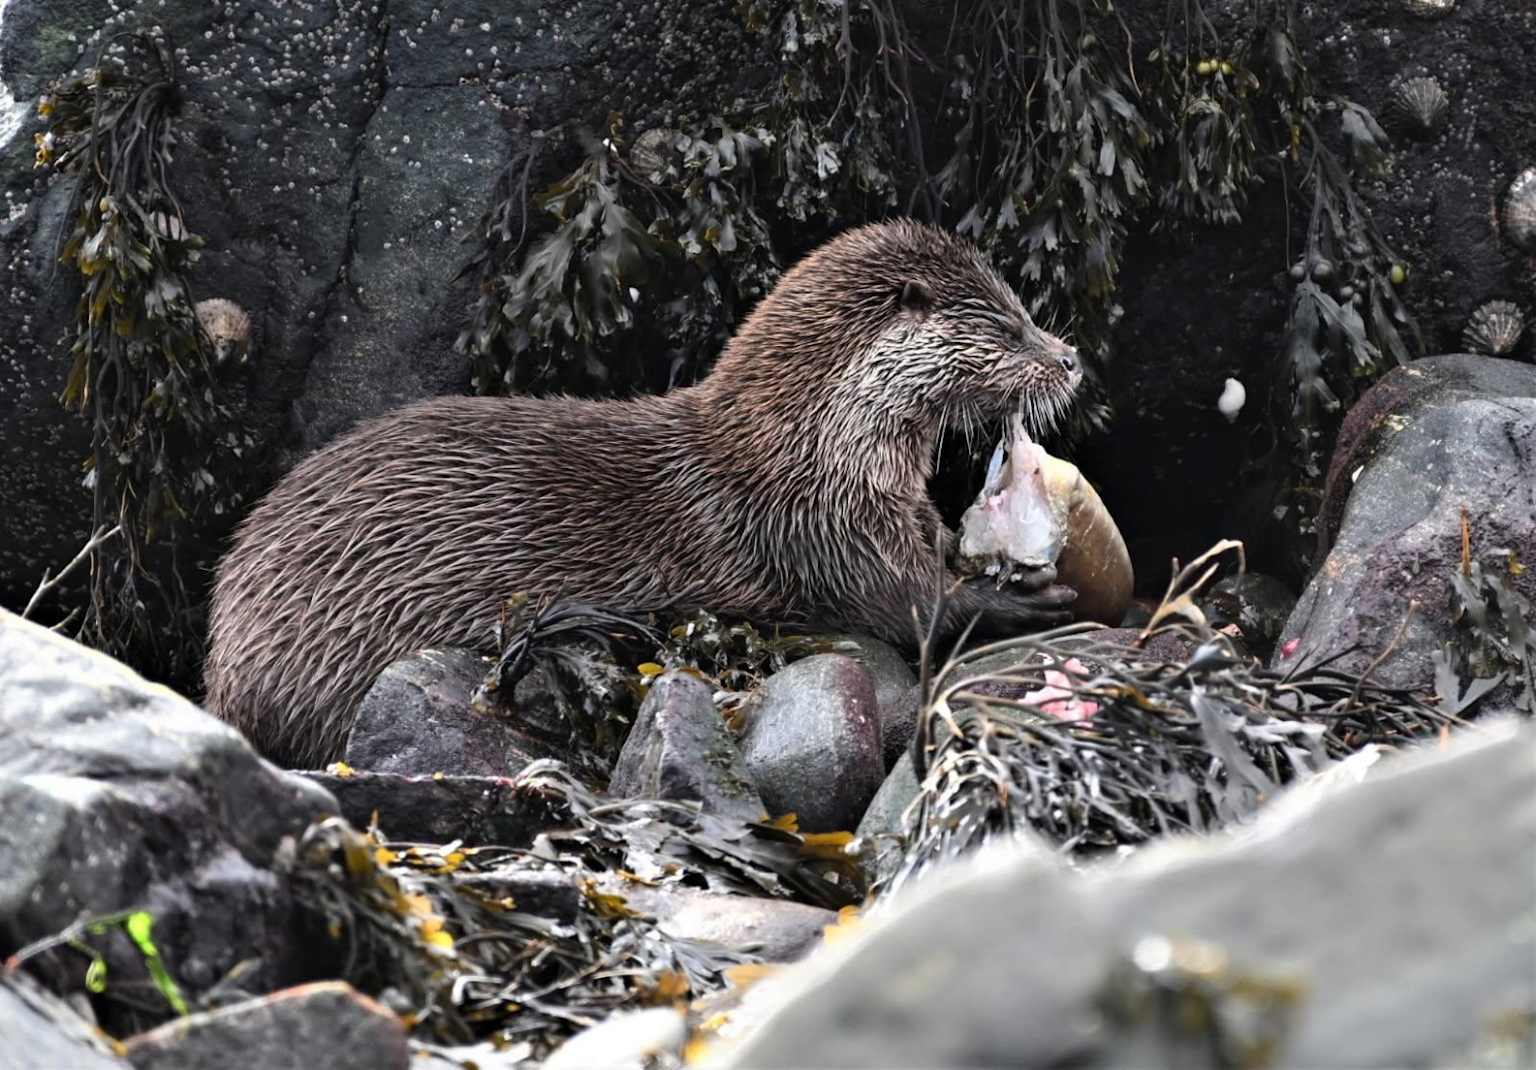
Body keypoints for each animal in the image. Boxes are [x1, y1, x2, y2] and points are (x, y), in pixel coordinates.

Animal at [204, 220, 1082, 767]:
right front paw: (1025, 597)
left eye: (1024, 309)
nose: (1070, 358)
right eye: (1007, 327)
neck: (811, 446)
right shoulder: (823, 530)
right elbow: (915, 608)